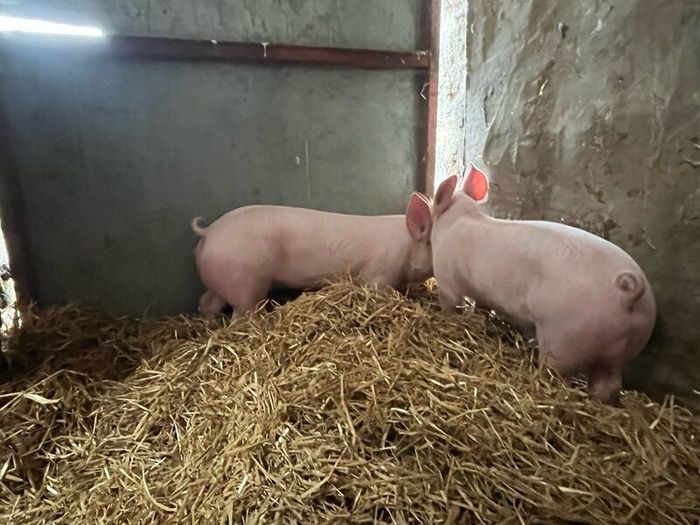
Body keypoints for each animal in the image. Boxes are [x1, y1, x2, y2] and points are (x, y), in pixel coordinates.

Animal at [191, 193, 433, 319]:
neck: (407, 244)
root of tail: (210, 231)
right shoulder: (379, 274)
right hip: (246, 284)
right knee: (241, 316)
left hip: (220, 282)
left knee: (206, 302)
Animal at [430, 165, 656, 404]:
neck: (460, 218)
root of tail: (629, 290)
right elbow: (481, 306)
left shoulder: (446, 278)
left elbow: (450, 304)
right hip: (621, 350)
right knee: (610, 383)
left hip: (563, 337)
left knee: (556, 373)